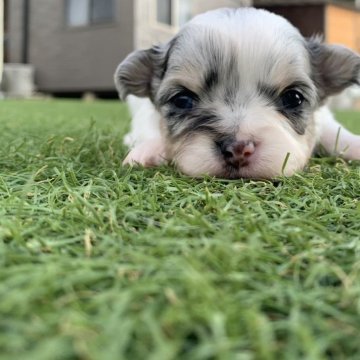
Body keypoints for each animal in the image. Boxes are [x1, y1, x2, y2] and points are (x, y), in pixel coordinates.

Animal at [113, 7, 360, 179]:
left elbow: (335, 134)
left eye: (293, 98)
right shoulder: (146, 114)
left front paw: (355, 145)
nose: (238, 149)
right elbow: (152, 128)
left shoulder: (323, 117)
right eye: (182, 100)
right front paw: (147, 150)